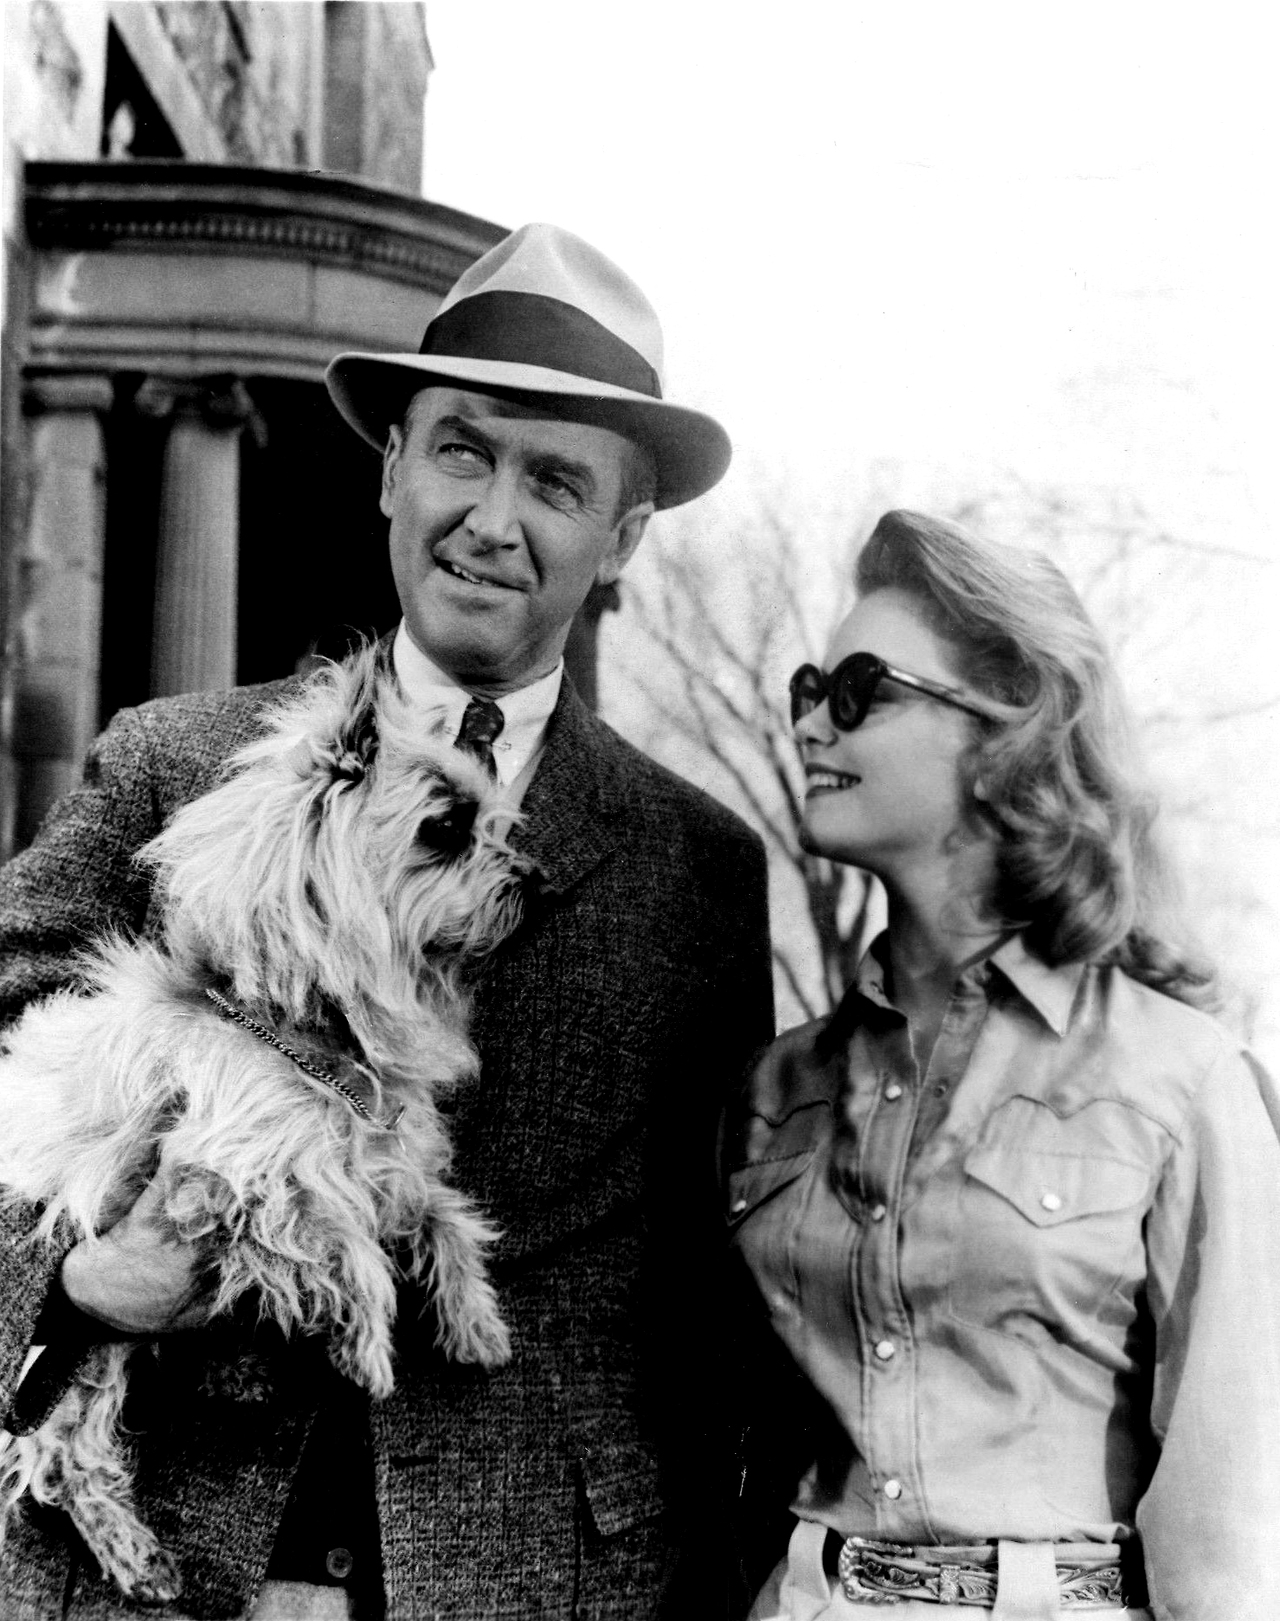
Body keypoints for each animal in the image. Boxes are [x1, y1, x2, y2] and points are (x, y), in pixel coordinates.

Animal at [0, 643, 525, 1605]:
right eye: (444, 828)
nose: (537, 881)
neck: (307, 1032)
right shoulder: (247, 1175)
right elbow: (350, 1247)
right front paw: (371, 1349)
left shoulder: (384, 1161)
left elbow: (442, 1214)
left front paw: (474, 1321)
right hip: (88, 1340)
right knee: (62, 1448)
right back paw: (135, 1553)